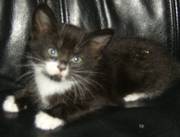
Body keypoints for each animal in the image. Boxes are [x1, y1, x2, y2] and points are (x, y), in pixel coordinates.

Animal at [1, 4, 180, 131]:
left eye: (76, 59)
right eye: (52, 51)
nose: (61, 66)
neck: (56, 82)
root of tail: (171, 60)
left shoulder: (97, 93)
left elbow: (76, 105)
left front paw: (49, 117)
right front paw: (16, 99)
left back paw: (132, 95)